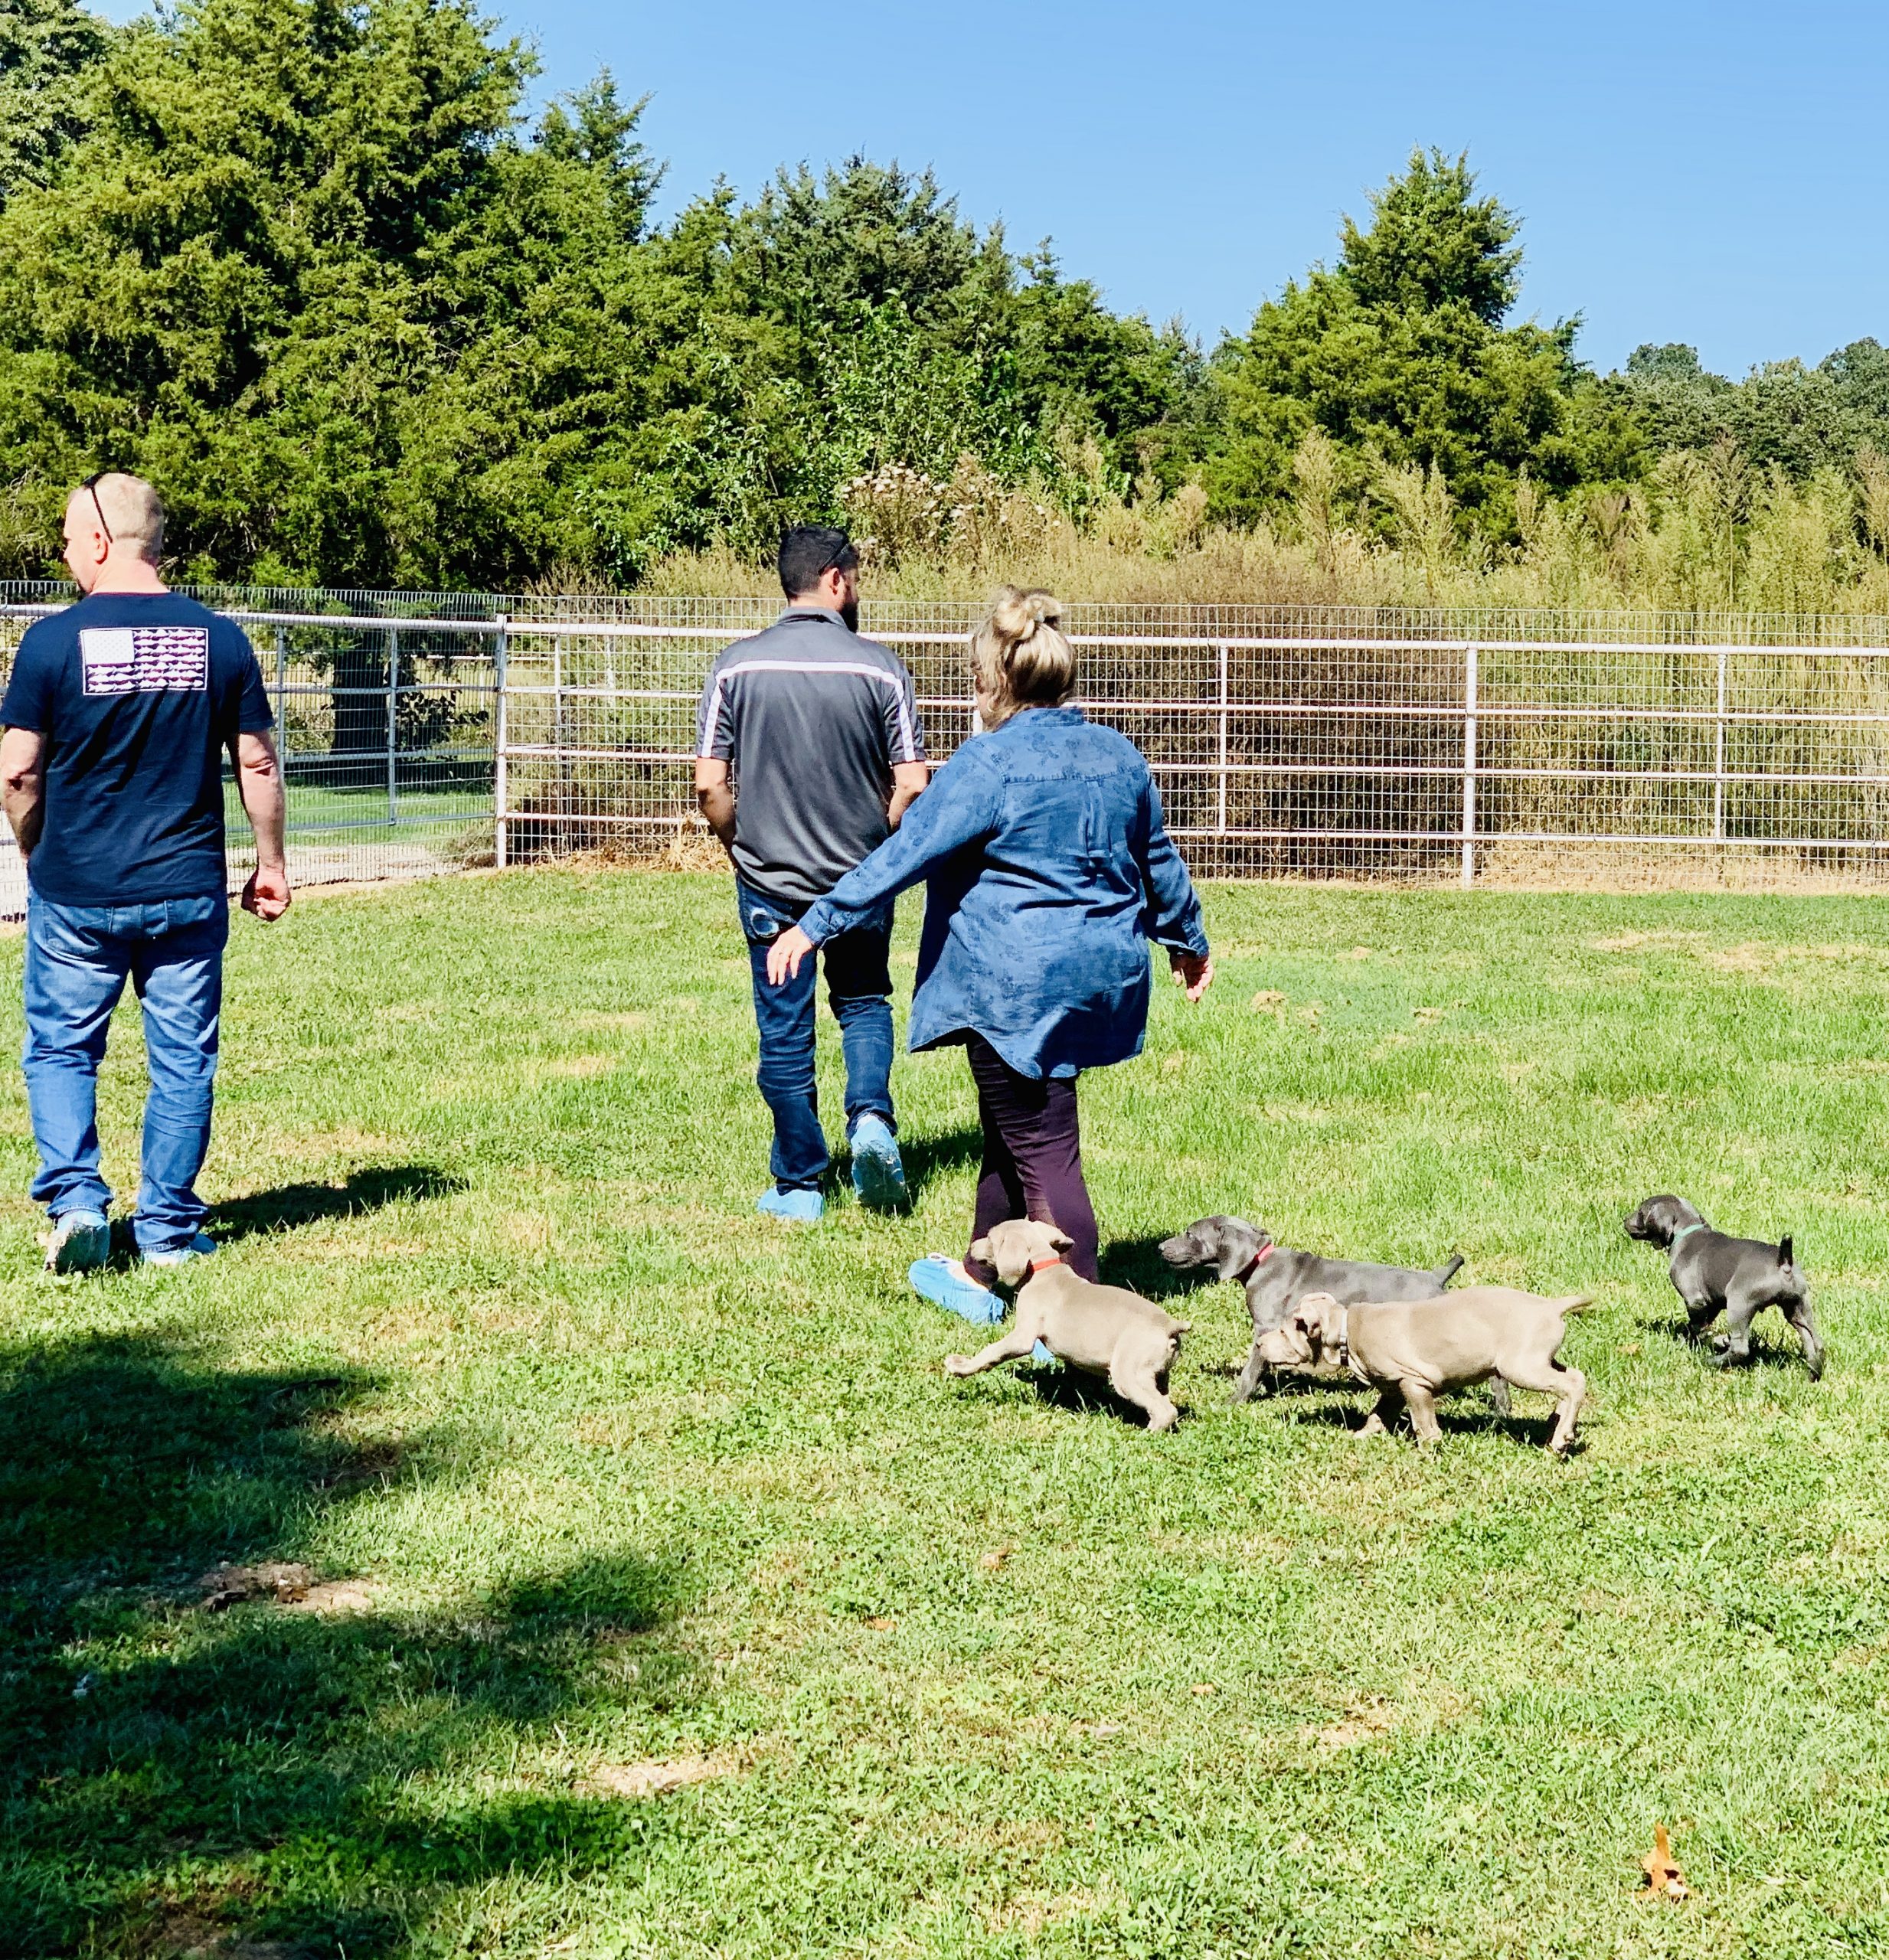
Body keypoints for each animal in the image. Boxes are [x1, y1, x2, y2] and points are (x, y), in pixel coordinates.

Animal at [944, 1215, 1199, 1434]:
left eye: (990, 1238)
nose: (971, 1247)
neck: (1042, 1269)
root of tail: (1170, 1325)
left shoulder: (1023, 1336)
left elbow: (992, 1351)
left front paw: (961, 1366)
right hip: (1159, 1374)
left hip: (1129, 1372)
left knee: (1165, 1410)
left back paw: (1146, 1433)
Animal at [1152, 1207, 1489, 1411]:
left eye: (1190, 1234)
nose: (1159, 1248)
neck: (1260, 1263)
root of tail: (1436, 1277)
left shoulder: (1265, 1326)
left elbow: (1250, 1370)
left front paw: (1234, 1400)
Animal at [1270, 1285, 1591, 1458]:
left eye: (1284, 1332)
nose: (1261, 1343)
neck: (1349, 1330)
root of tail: (1551, 1306)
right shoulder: (1393, 1388)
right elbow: (1377, 1415)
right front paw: (1360, 1436)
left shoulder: (1414, 1382)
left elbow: (1423, 1422)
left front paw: (1428, 1448)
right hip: (1538, 1359)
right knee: (1570, 1378)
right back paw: (1557, 1424)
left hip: (1519, 1366)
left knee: (1573, 1382)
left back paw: (1561, 1437)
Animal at [1614, 1191, 1826, 1380]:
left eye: (1641, 1211)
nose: (1624, 1220)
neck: (1687, 1232)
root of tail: (1784, 1261)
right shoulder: (1712, 1303)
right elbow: (1701, 1326)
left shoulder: (1695, 1300)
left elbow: (1698, 1328)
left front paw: (1704, 1343)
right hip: (1798, 1306)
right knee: (1815, 1342)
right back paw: (1812, 1375)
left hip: (1739, 1304)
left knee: (1741, 1348)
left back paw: (1712, 1362)